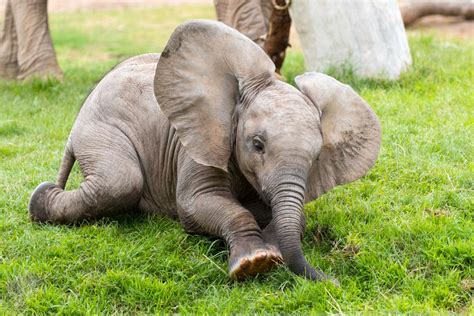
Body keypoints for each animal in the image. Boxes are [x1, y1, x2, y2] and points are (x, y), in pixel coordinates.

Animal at [28, 19, 382, 282]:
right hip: (100, 128)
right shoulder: (199, 142)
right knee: (119, 182)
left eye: (315, 158)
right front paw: (254, 262)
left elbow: (293, 215)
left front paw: (271, 250)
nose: (333, 280)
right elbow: (197, 203)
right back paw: (40, 199)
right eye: (257, 144)